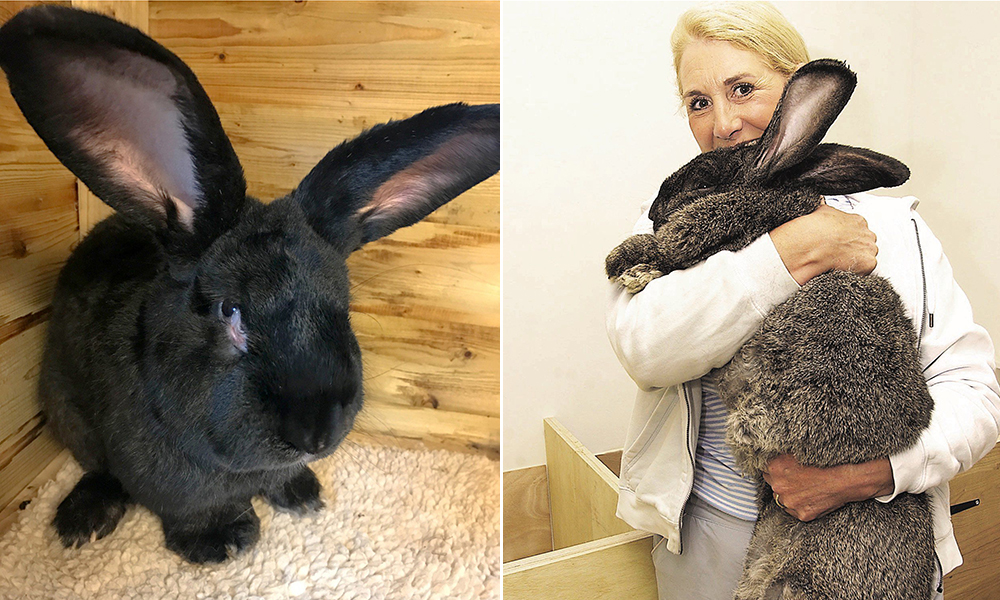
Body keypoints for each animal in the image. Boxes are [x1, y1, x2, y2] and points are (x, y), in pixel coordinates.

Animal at [0, 5, 499, 564]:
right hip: (65, 407)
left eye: (344, 306)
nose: (316, 434)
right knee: (96, 467)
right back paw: (82, 520)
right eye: (228, 311)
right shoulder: (167, 485)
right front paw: (222, 543)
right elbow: (189, 509)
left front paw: (301, 495)